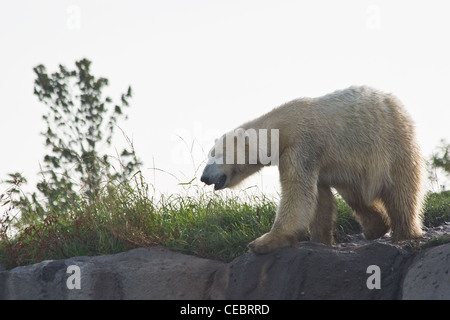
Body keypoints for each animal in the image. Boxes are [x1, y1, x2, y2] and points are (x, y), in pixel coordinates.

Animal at [201, 86, 426, 254]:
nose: (204, 177)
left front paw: (262, 242)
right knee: (356, 195)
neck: (283, 127)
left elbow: (297, 194)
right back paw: (375, 228)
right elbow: (319, 197)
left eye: (216, 154)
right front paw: (319, 239)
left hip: (393, 142)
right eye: (210, 154)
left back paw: (405, 233)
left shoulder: (301, 146)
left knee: (402, 191)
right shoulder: (314, 158)